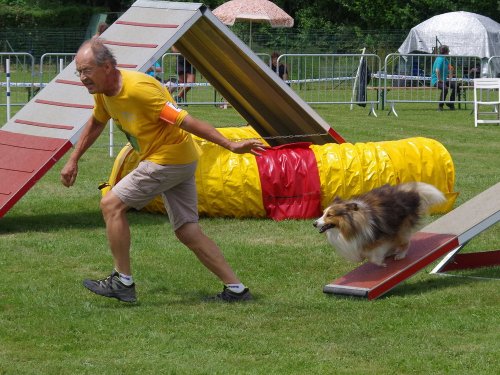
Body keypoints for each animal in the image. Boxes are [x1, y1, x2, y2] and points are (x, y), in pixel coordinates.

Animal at [312, 183, 446, 268]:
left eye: (329, 215)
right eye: (323, 213)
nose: (314, 223)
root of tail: (410, 193)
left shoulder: (377, 237)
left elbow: (374, 256)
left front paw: (381, 262)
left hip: (400, 228)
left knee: (405, 242)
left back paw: (400, 255)